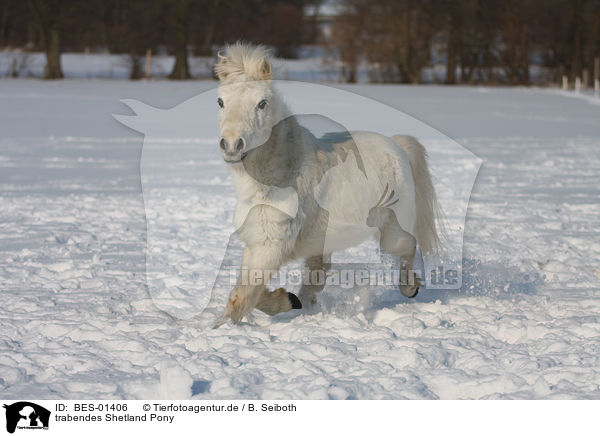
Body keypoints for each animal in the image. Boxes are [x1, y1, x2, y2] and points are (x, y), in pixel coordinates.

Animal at [213, 42, 438, 326]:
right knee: (316, 277)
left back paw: (410, 288)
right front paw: (287, 300)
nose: (232, 145)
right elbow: (249, 292)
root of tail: (396, 145)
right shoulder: (256, 242)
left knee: (409, 246)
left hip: (392, 233)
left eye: (262, 103)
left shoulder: (272, 245)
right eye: (221, 101)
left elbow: (240, 298)